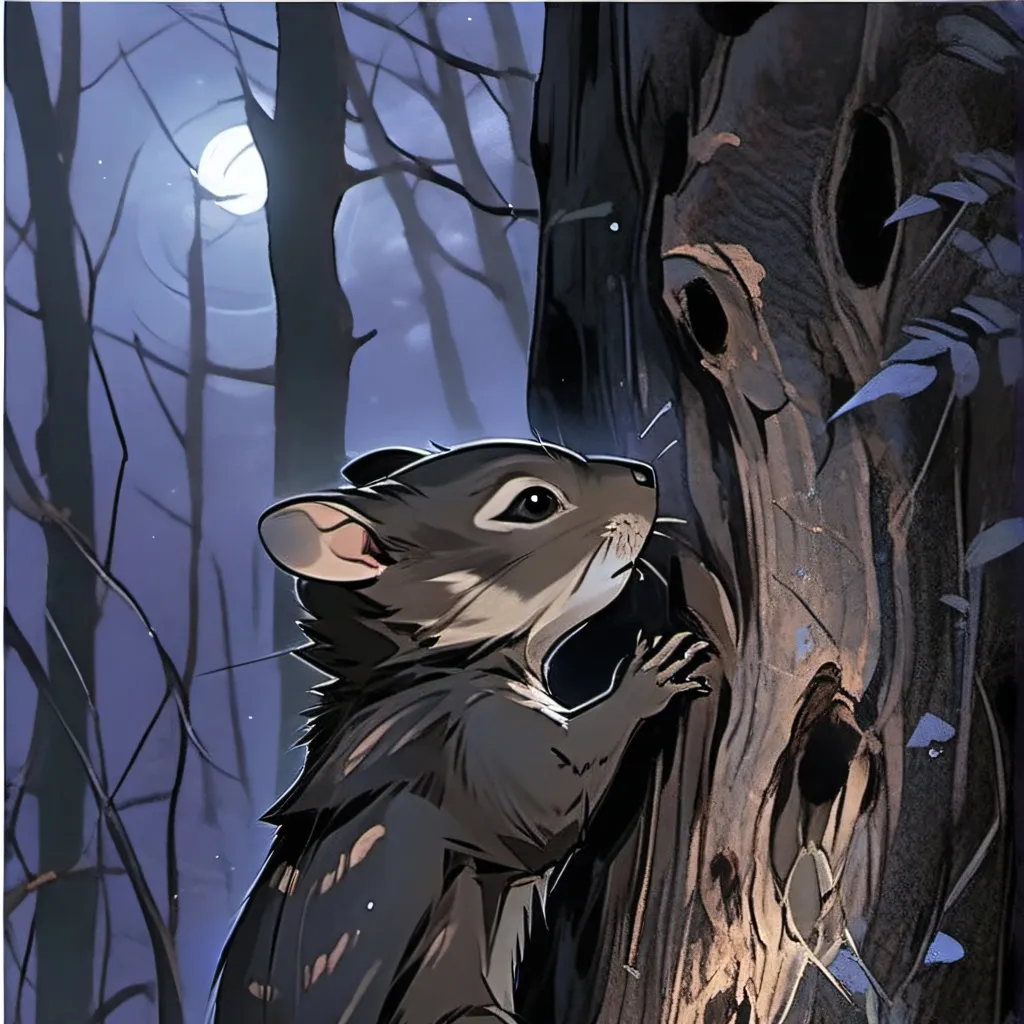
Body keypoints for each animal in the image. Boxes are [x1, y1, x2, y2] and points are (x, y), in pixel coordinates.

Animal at [209, 439, 713, 1024]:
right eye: (534, 503)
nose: (645, 476)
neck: (433, 662)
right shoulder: (476, 743)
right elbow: (552, 814)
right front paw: (646, 679)